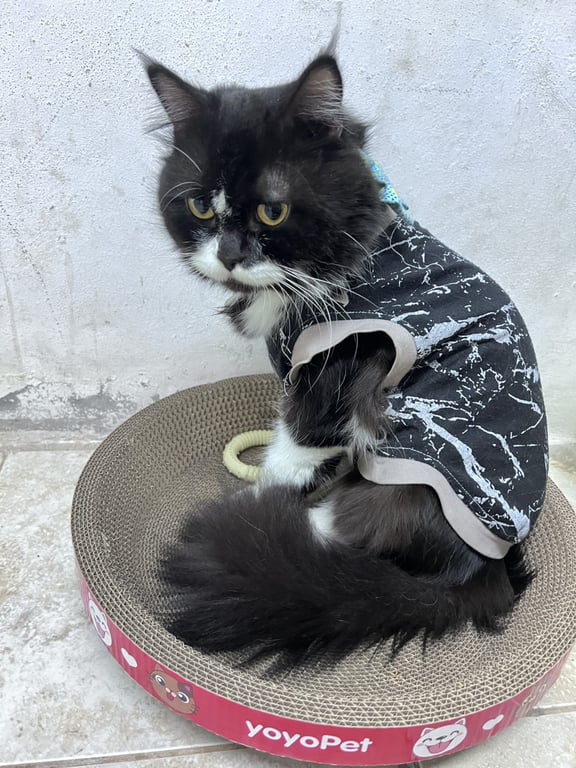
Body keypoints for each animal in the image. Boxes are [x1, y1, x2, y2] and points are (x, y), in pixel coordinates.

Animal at [144, 49, 548, 672]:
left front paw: (262, 496)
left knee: (345, 531)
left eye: (274, 210)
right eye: (199, 206)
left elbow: (293, 446)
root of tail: (488, 569)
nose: (230, 255)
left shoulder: (348, 357)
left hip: (406, 472)